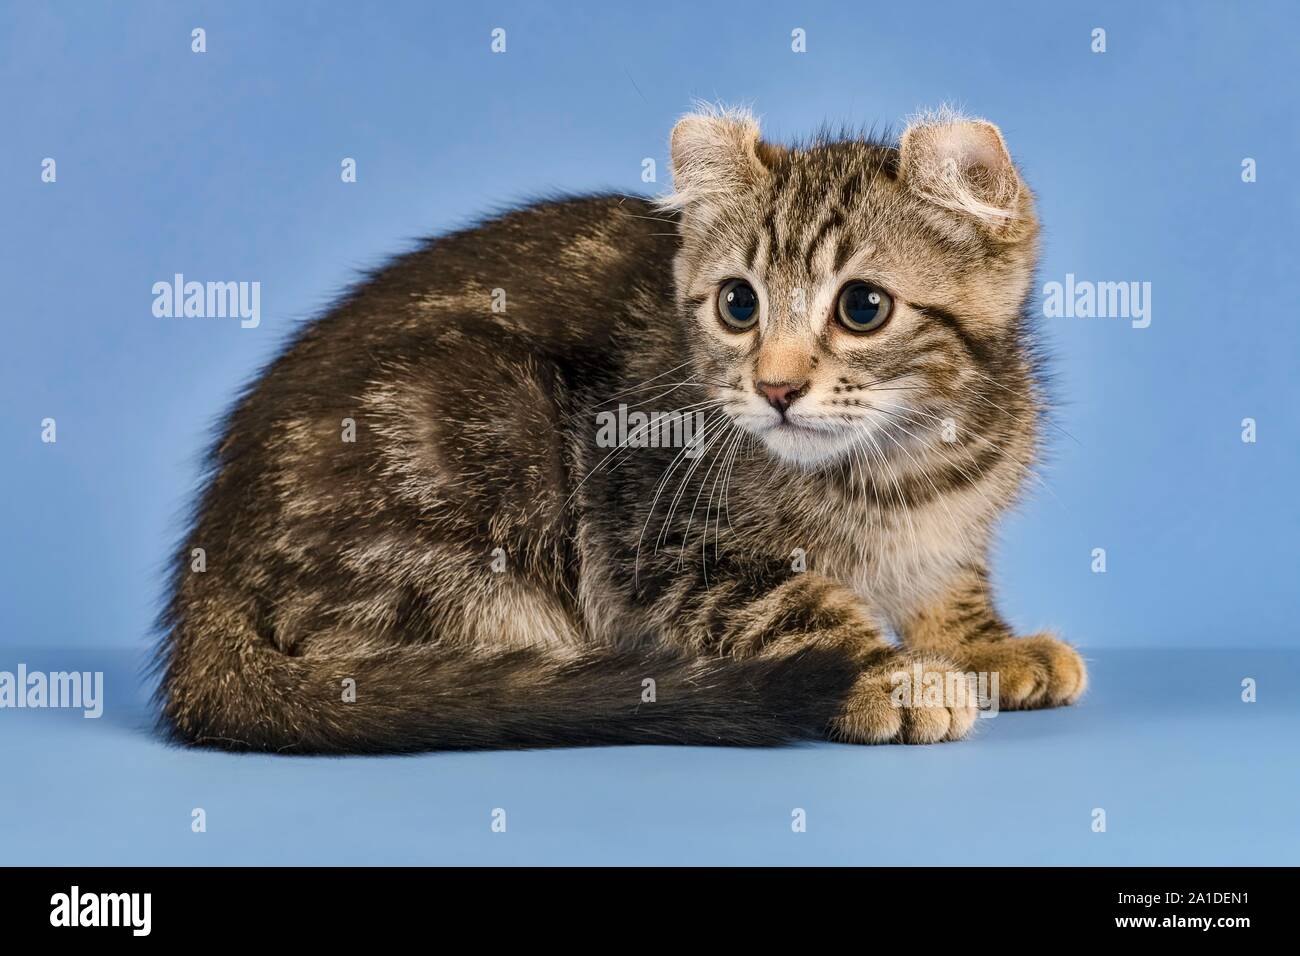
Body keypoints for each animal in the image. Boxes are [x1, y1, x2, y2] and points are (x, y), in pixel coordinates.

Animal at [154, 110, 1086, 754]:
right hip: (482, 421)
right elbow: (788, 598)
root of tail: (212, 554)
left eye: (863, 307)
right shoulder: (652, 530)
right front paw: (883, 676)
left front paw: (987, 644)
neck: (901, 467)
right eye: (738, 304)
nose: (776, 387)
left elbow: (948, 574)